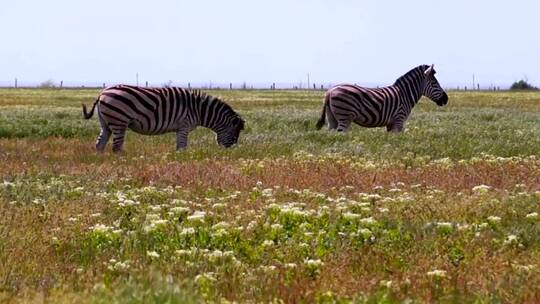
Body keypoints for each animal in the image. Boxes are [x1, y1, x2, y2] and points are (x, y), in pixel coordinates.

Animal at [82, 85, 245, 152]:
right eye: (234, 136)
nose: (227, 153)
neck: (199, 110)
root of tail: (102, 92)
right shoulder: (184, 126)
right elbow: (182, 147)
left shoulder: (181, 128)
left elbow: (180, 147)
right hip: (119, 121)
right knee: (116, 147)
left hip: (106, 122)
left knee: (100, 144)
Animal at [314, 64, 450, 132]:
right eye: (434, 83)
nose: (446, 99)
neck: (405, 94)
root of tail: (330, 91)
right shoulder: (399, 120)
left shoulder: (390, 124)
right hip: (344, 117)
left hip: (332, 119)